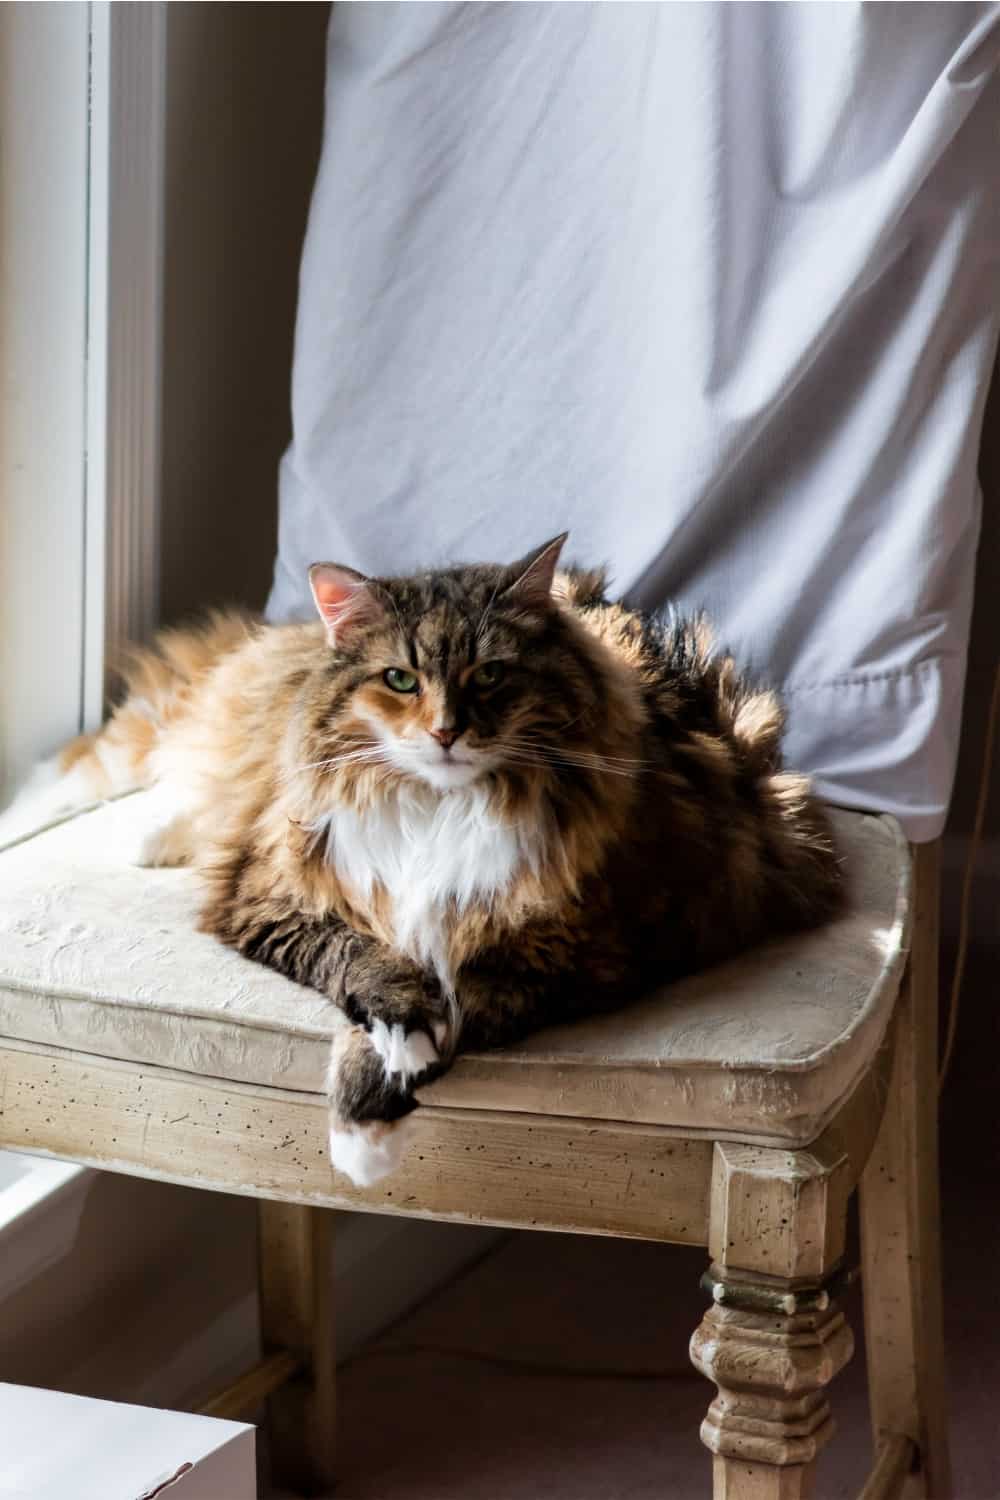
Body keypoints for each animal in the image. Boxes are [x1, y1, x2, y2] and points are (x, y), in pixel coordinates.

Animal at [5, 540, 845, 1182]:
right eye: (400, 680)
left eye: (490, 676)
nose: (446, 732)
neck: (440, 807)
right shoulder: (272, 895)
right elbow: (364, 962)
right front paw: (373, 1110)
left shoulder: (582, 952)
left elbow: (462, 1001)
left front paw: (371, 1117)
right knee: (108, 771)